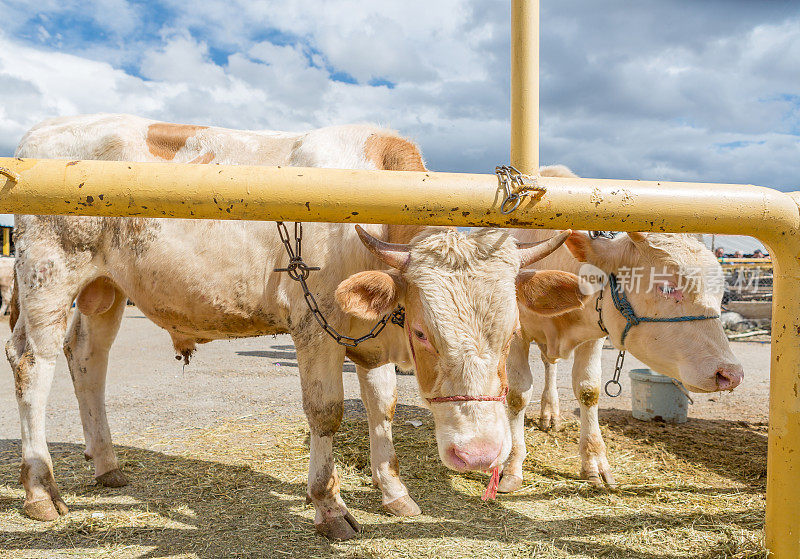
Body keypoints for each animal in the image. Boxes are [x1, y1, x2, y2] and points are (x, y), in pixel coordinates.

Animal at [4, 115, 580, 544]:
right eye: (422, 333)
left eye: (509, 333)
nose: (478, 455)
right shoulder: (315, 327)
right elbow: (326, 413)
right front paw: (329, 505)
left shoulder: (369, 339)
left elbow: (383, 408)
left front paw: (394, 492)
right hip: (47, 276)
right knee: (33, 363)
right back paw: (41, 490)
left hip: (104, 290)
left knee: (87, 360)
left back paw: (106, 464)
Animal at [496, 164, 748, 492]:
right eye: (667, 287)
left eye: (721, 290)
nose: (731, 374)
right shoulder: (516, 334)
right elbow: (516, 394)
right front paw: (512, 464)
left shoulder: (593, 335)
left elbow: (588, 390)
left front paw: (594, 463)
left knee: (550, 365)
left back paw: (550, 412)